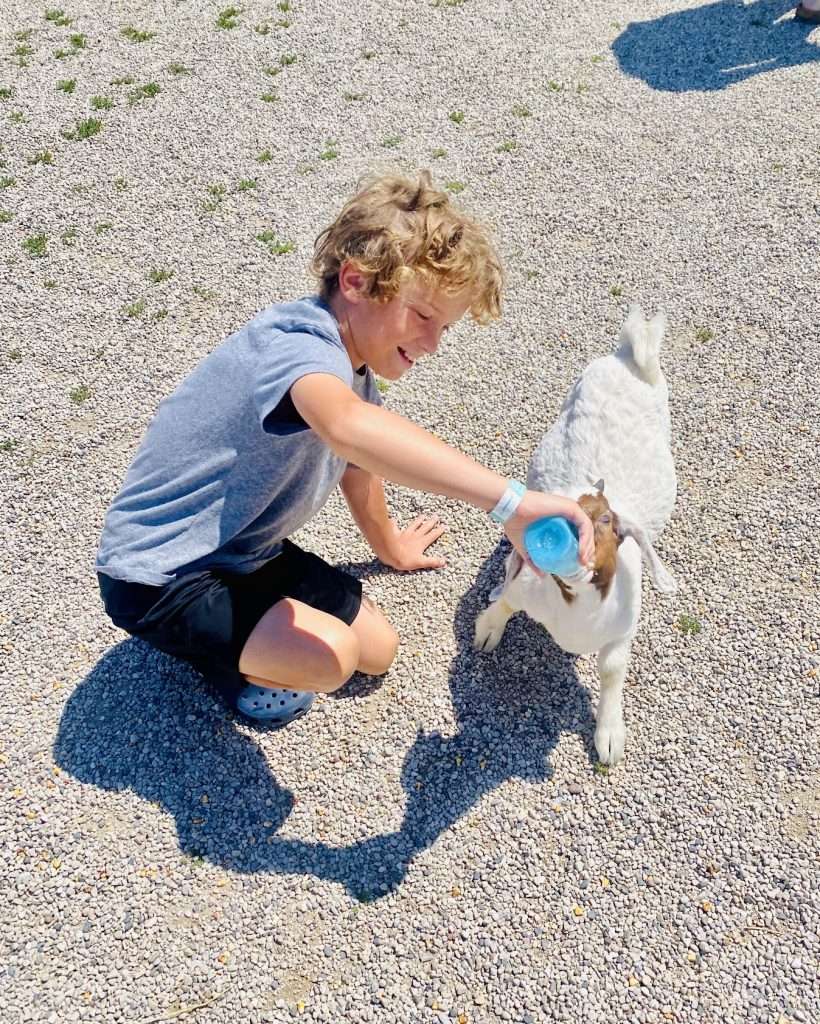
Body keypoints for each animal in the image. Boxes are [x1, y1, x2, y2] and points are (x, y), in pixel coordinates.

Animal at [477, 307, 675, 765]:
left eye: (606, 521)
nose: (559, 535)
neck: (578, 610)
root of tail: (630, 356)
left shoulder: (622, 631)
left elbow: (612, 669)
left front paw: (609, 737)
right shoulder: (526, 586)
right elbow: (507, 600)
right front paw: (486, 631)